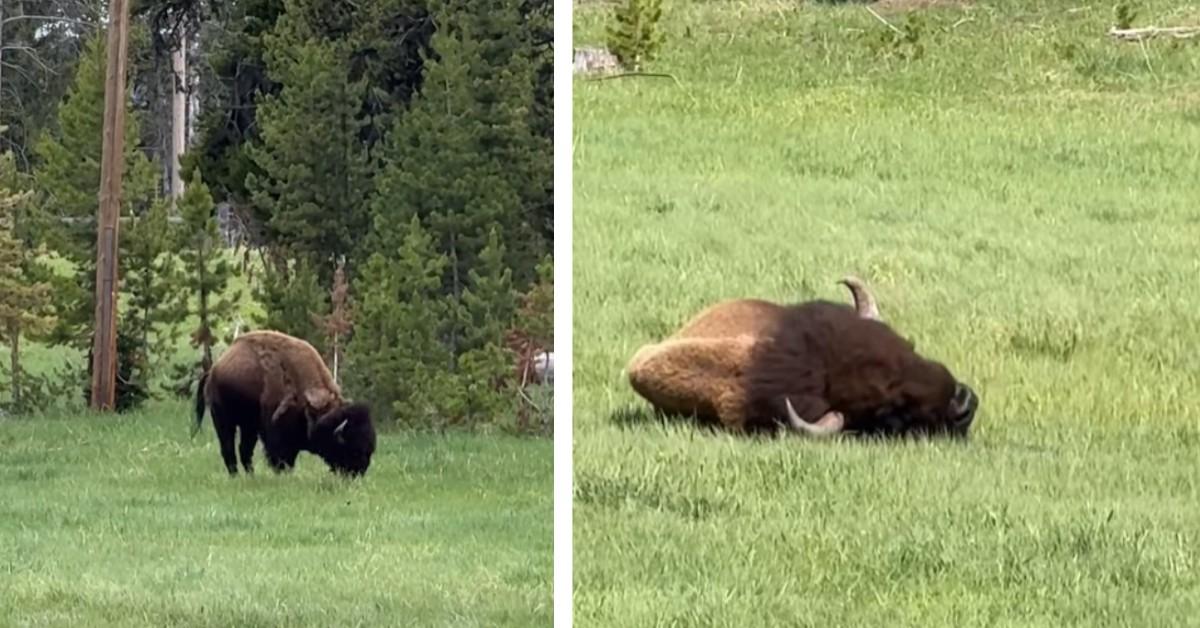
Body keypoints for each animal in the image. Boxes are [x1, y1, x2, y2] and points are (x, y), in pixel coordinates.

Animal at [194, 330, 377, 476]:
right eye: (354, 449)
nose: (359, 471)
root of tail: (213, 370)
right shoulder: (276, 434)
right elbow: (280, 456)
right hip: (223, 420)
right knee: (228, 448)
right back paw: (236, 476)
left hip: (249, 426)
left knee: (244, 450)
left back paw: (251, 475)